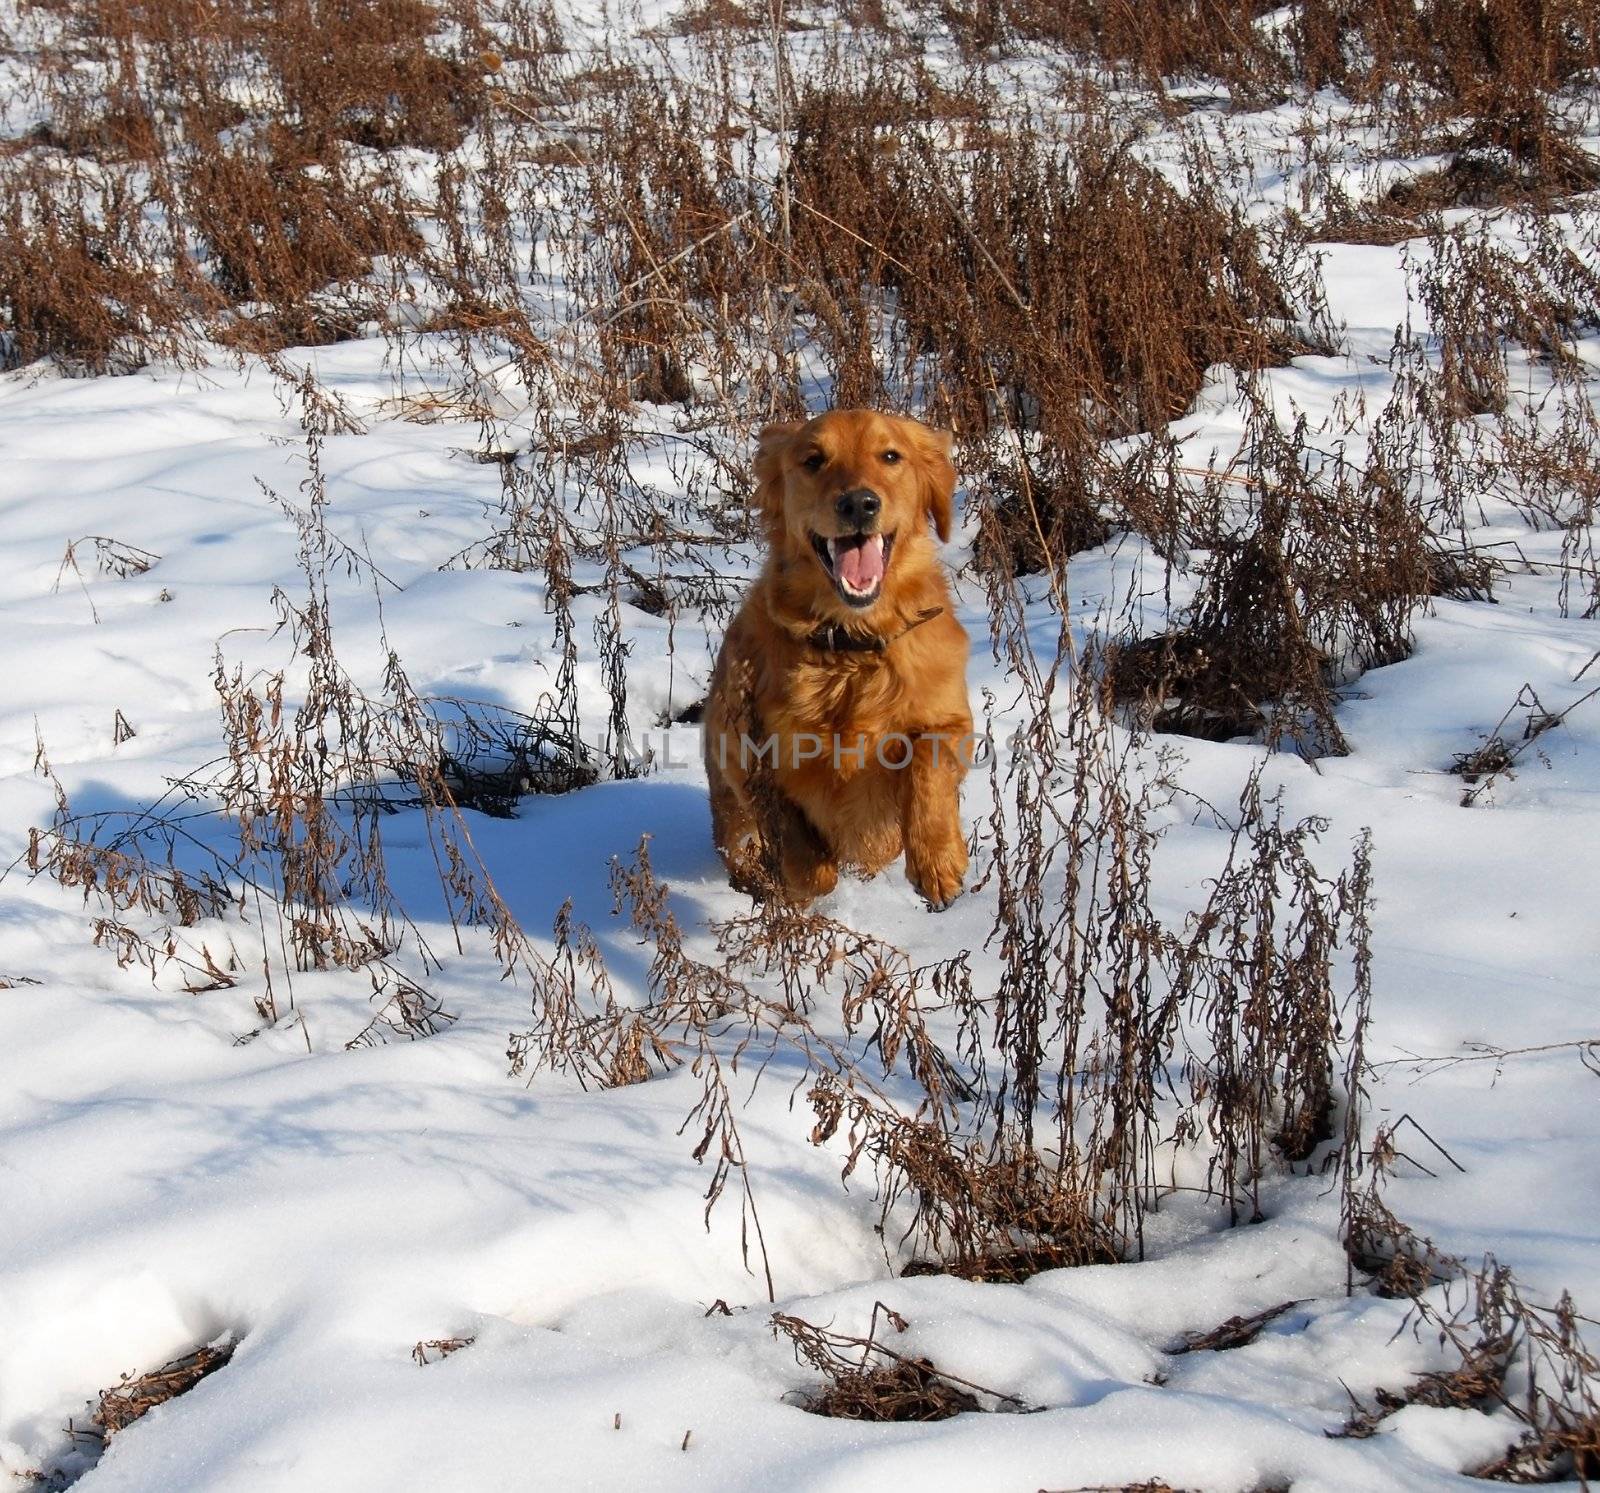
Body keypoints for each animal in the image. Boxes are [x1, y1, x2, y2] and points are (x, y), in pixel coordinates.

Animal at [704, 401, 972, 902]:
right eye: (813, 460)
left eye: (891, 456)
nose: (859, 504)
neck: (852, 645)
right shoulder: (748, 755)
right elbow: (799, 847)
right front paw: (809, 872)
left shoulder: (951, 719)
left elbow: (928, 761)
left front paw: (937, 859)